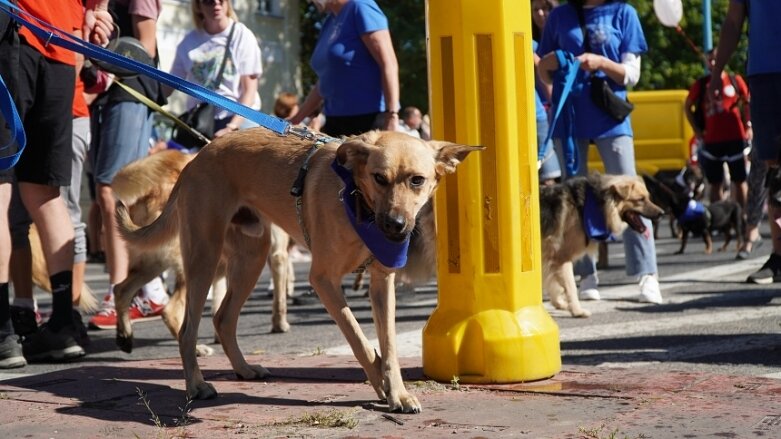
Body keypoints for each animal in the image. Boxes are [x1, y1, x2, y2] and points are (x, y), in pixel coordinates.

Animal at [109, 150, 292, 360]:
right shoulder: (277, 255)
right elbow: (279, 296)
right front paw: (280, 324)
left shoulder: (224, 267)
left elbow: (219, 304)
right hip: (191, 266)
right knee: (171, 312)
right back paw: (196, 349)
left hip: (153, 264)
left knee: (121, 290)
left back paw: (124, 336)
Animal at [544, 175, 664, 320]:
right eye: (640, 199)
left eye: (648, 197)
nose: (662, 213)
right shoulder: (561, 257)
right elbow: (570, 286)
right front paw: (577, 311)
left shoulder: (551, 258)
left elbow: (553, 284)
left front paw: (559, 304)